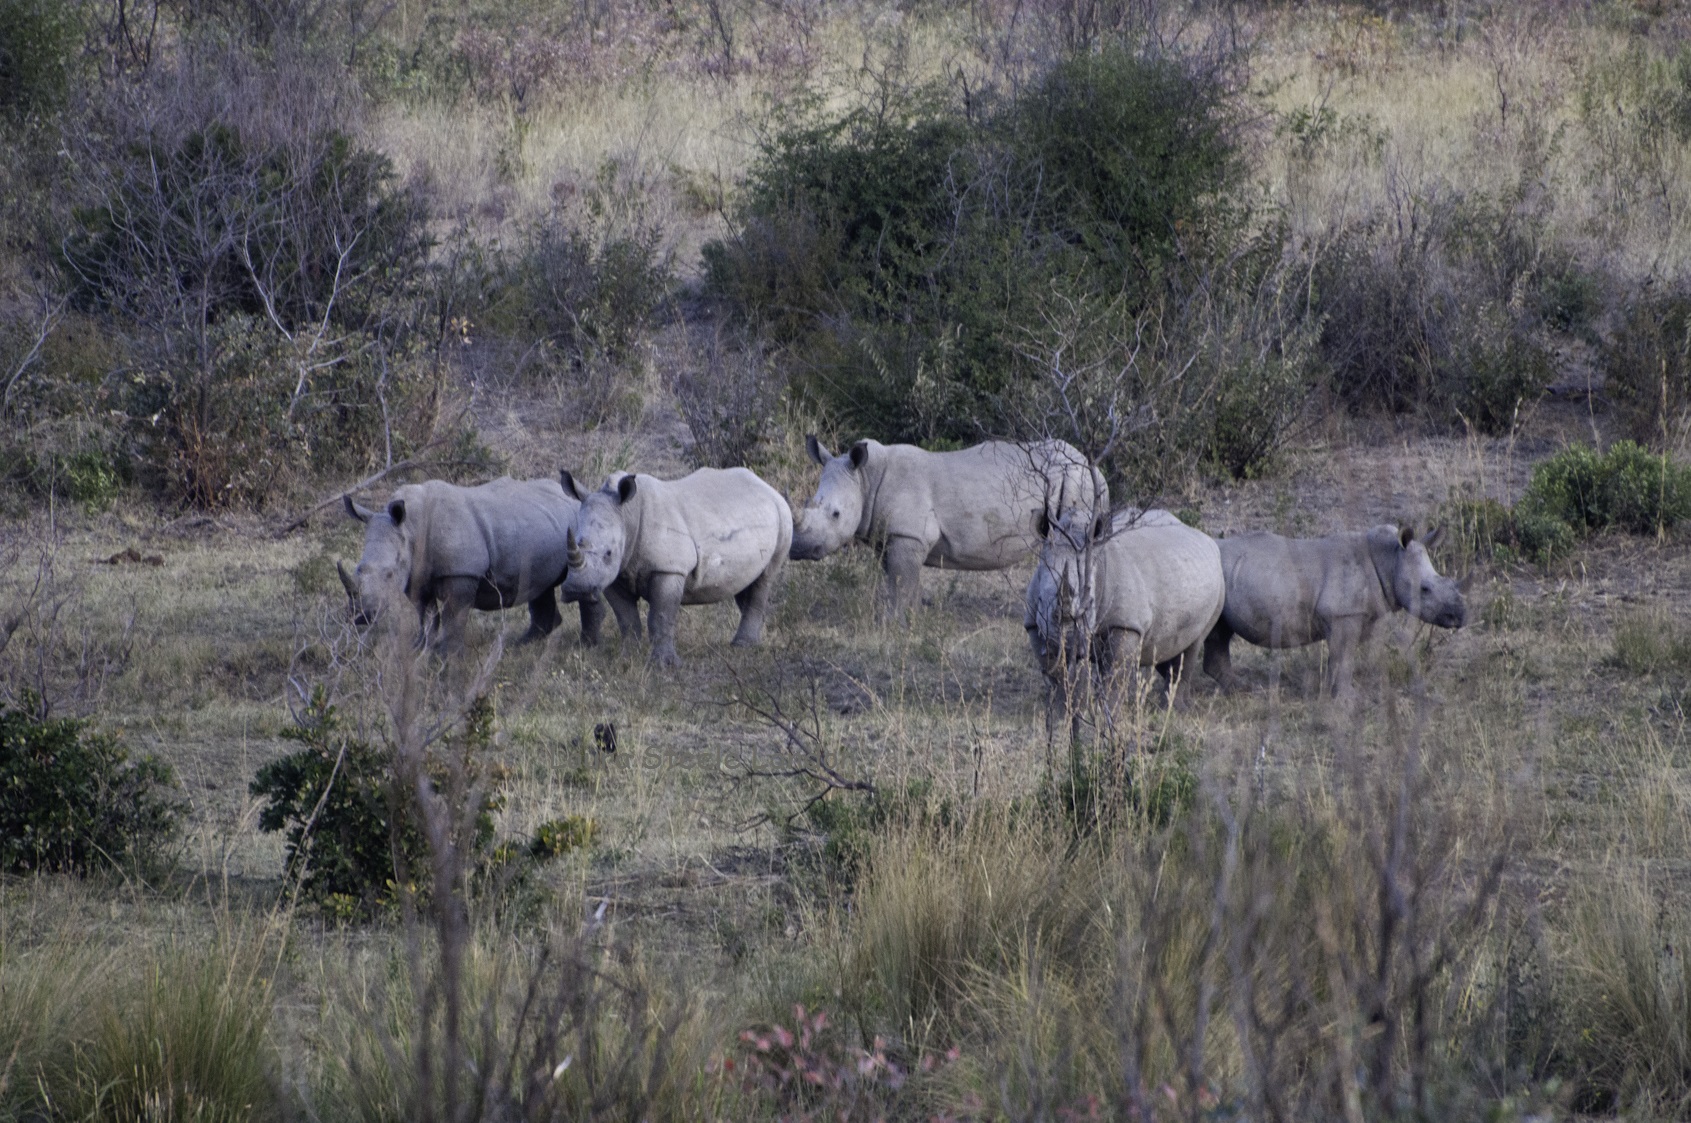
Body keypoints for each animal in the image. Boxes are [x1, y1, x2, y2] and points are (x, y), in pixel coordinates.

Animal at [339, 476, 604, 654]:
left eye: (390, 574)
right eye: (358, 568)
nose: (361, 616)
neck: (410, 527)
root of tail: (577, 496)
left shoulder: (460, 573)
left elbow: (453, 617)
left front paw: (448, 655)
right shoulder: (417, 573)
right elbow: (425, 615)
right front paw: (420, 649)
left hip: (579, 529)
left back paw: (585, 644)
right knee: (540, 585)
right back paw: (523, 643)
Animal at [559, 467, 793, 666]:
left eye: (608, 553)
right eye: (576, 543)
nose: (577, 590)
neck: (627, 515)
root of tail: (767, 487)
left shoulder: (668, 569)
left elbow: (660, 616)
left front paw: (664, 665)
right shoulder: (614, 575)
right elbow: (626, 619)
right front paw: (627, 659)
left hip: (783, 516)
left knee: (765, 578)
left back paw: (743, 646)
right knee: (745, 581)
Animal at [791, 436, 1108, 614]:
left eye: (836, 514)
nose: (797, 548)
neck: (865, 478)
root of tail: (1092, 467)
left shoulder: (908, 535)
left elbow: (900, 583)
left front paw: (893, 624)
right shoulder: (891, 536)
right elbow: (902, 582)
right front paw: (913, 619)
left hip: (1075, 482)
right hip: (1077, 482)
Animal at [1026, 507, 1225, 711]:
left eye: (1090, 603)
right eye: (1040, 600)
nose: (1066, 645)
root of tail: (1207, 539)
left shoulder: (1126, 625)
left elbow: (1114, 677)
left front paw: (1107, 713)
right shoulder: (1034, 624)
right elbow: (1057, 677)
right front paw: (1061, 711)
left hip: (1219, 584)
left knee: (1193, 644)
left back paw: (1175, 709)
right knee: (1165, 646)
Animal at [1201, 526, 1466, 697]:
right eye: (1425, 589)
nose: (1461, 616)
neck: (1389, 560)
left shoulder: (1358, 615)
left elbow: (1341, 658)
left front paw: (1336, 692)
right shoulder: (1343, 615)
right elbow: (1343, 658)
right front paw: (1347, 698)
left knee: (1220, 633)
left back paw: (1240, 690)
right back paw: (1244, 690)